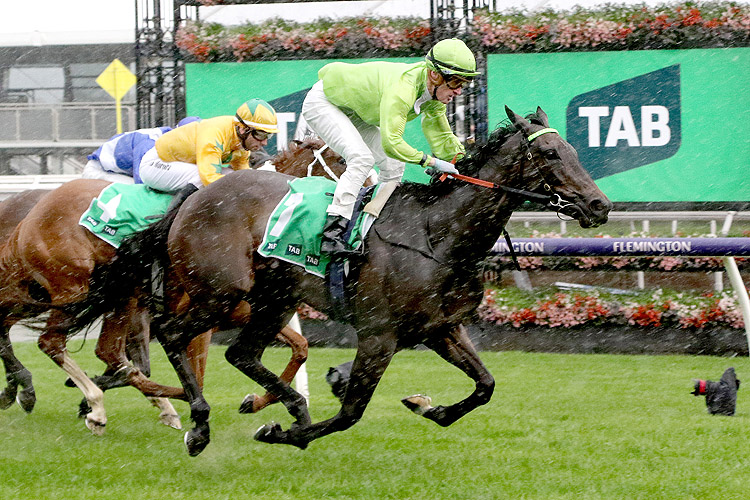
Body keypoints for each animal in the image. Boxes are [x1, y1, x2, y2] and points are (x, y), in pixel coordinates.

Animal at [0, 137, 346, 434]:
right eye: (342, 159)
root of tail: (29, 218)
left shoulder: (246, 311)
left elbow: (300, 347)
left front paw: (256, 401)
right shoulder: (211, 314)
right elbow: (198, 374)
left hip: (74, 294)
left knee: (94, 348)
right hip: (75, 288)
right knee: (60, 343)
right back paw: (95, 404)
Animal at [69, 107, 612, 456]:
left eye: (571, 149)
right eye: (552, 156)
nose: (600, 205)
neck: (437, 235)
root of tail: (194, 195)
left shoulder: (442, 328)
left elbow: (485, 385)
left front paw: (427, 407)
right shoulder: (379, 334)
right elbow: (351, 412)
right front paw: (284, 432)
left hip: (271, 298)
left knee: (240, 353)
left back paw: (287, 404)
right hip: (221, 293)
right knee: (172, 332)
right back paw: (198, 423)